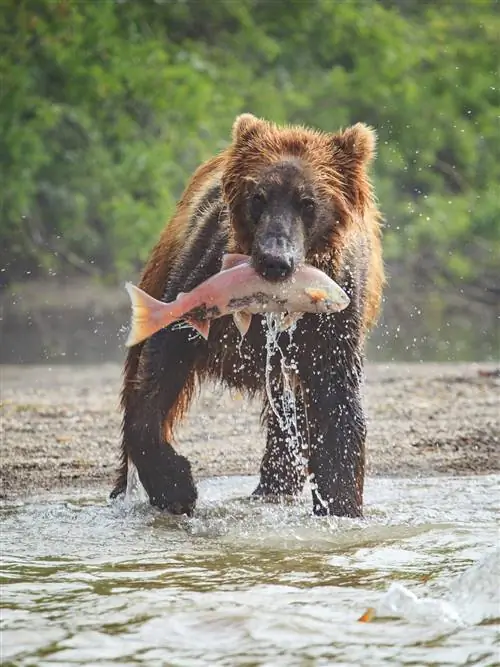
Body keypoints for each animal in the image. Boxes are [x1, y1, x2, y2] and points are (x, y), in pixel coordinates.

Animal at [110, 113, 384, 518]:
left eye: (308, 203)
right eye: (259, 197)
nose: (274, 260)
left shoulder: (335, 318)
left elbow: (336, 402)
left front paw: (341, 505)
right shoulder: (201, 273)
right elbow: (163, 363)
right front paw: (176, 486)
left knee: (289, 415)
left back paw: (274, 486)